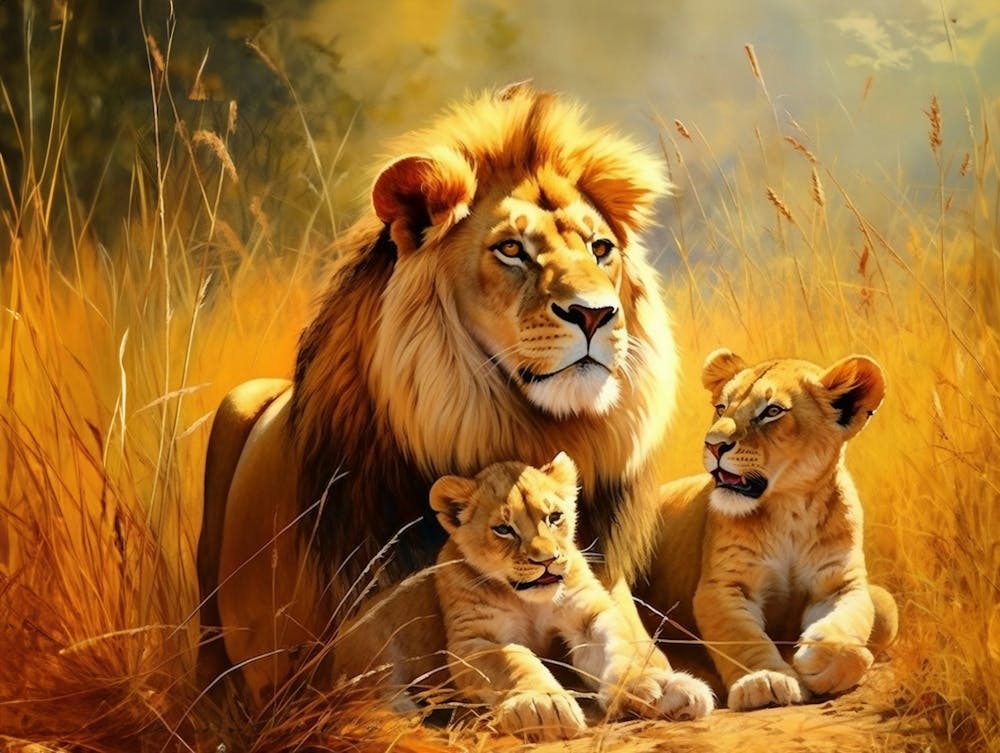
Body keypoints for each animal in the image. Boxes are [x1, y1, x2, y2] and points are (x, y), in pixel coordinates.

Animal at [196, 83, 695, 706]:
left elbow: (632, 649)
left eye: (601, 248)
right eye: (511, 249)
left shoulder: (605, 598)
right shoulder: (354, 657)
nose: (595, 313)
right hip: (233, 412)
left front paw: (665, 685)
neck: (519, 427)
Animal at [427, 452, 712, 740]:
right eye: (503, 529)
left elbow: (617, 646)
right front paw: (543, 705)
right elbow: (511, 660)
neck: (529, 602)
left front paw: (654, 688)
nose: (547, 560)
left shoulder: (587, 616)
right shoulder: (471, 638)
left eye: (554, 517)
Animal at [642, 350, 899, 711]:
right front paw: (766, 680)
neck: (791, 508)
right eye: (721, 407)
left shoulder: (840, 582)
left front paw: (817, 658)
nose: (712, 445)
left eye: (772, 411)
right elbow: (741, 637)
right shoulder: (724, 585)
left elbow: (852, 626)